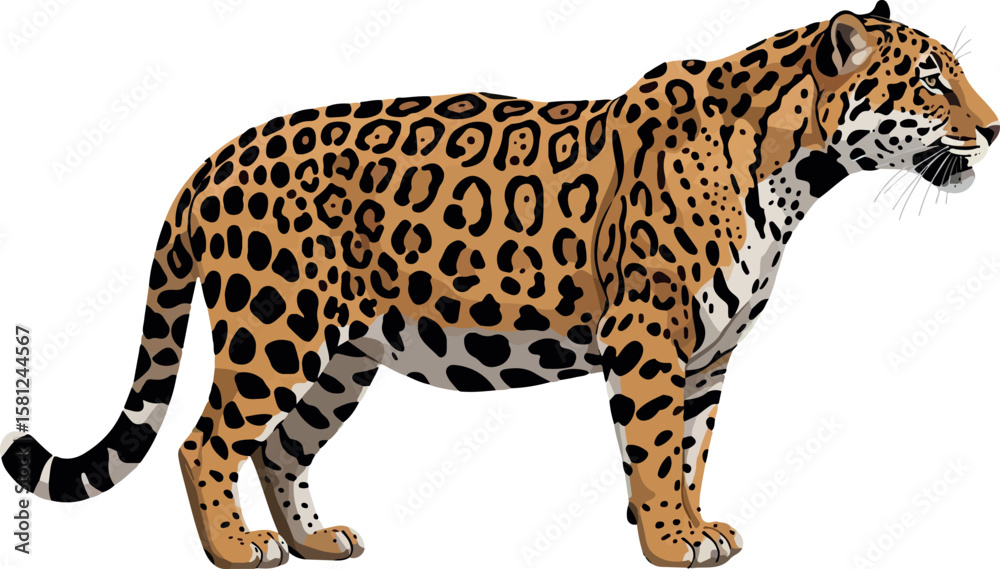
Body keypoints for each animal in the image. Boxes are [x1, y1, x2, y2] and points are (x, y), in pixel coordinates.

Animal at [4, 2, 996, 567]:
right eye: (931, 81)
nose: (992, 127)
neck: (794, 171)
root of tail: (208, 161)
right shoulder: (648, 340)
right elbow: (653, 451)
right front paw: (668, 540)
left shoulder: (708, 357)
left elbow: (692, 450)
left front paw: (696, 524)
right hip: (275, 327)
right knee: (205, 440)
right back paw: (240, 550)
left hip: (342, 359)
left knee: (281, 446)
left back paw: (316, 540)